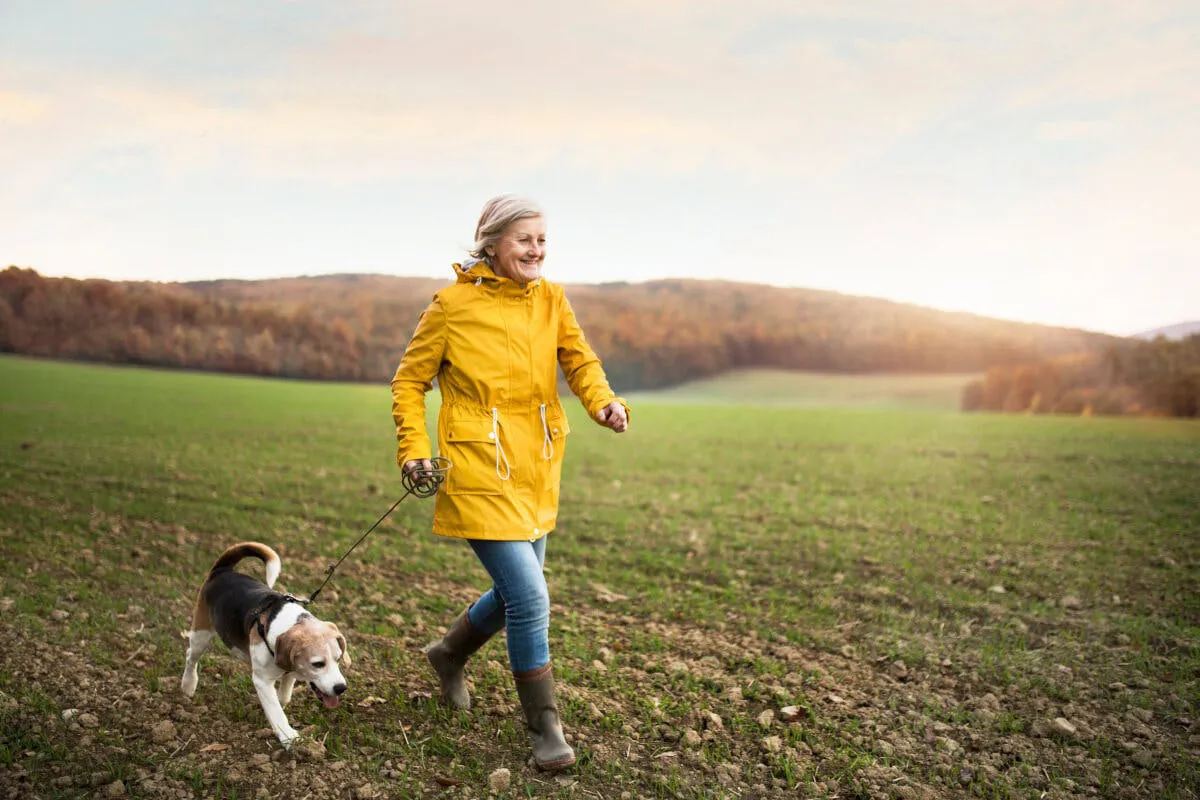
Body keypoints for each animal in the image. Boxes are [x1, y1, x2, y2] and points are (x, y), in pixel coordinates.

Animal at [180, 542, 350, 748]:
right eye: (318, 664)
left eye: (339, 659)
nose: (341, 688)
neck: (287, 623)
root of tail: (222, 570)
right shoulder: (262, 680)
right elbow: (276, 711)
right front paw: (289, 737)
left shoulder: (289, 670)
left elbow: (284, 694)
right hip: (202, 634)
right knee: (191, 656)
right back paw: (188, 685)